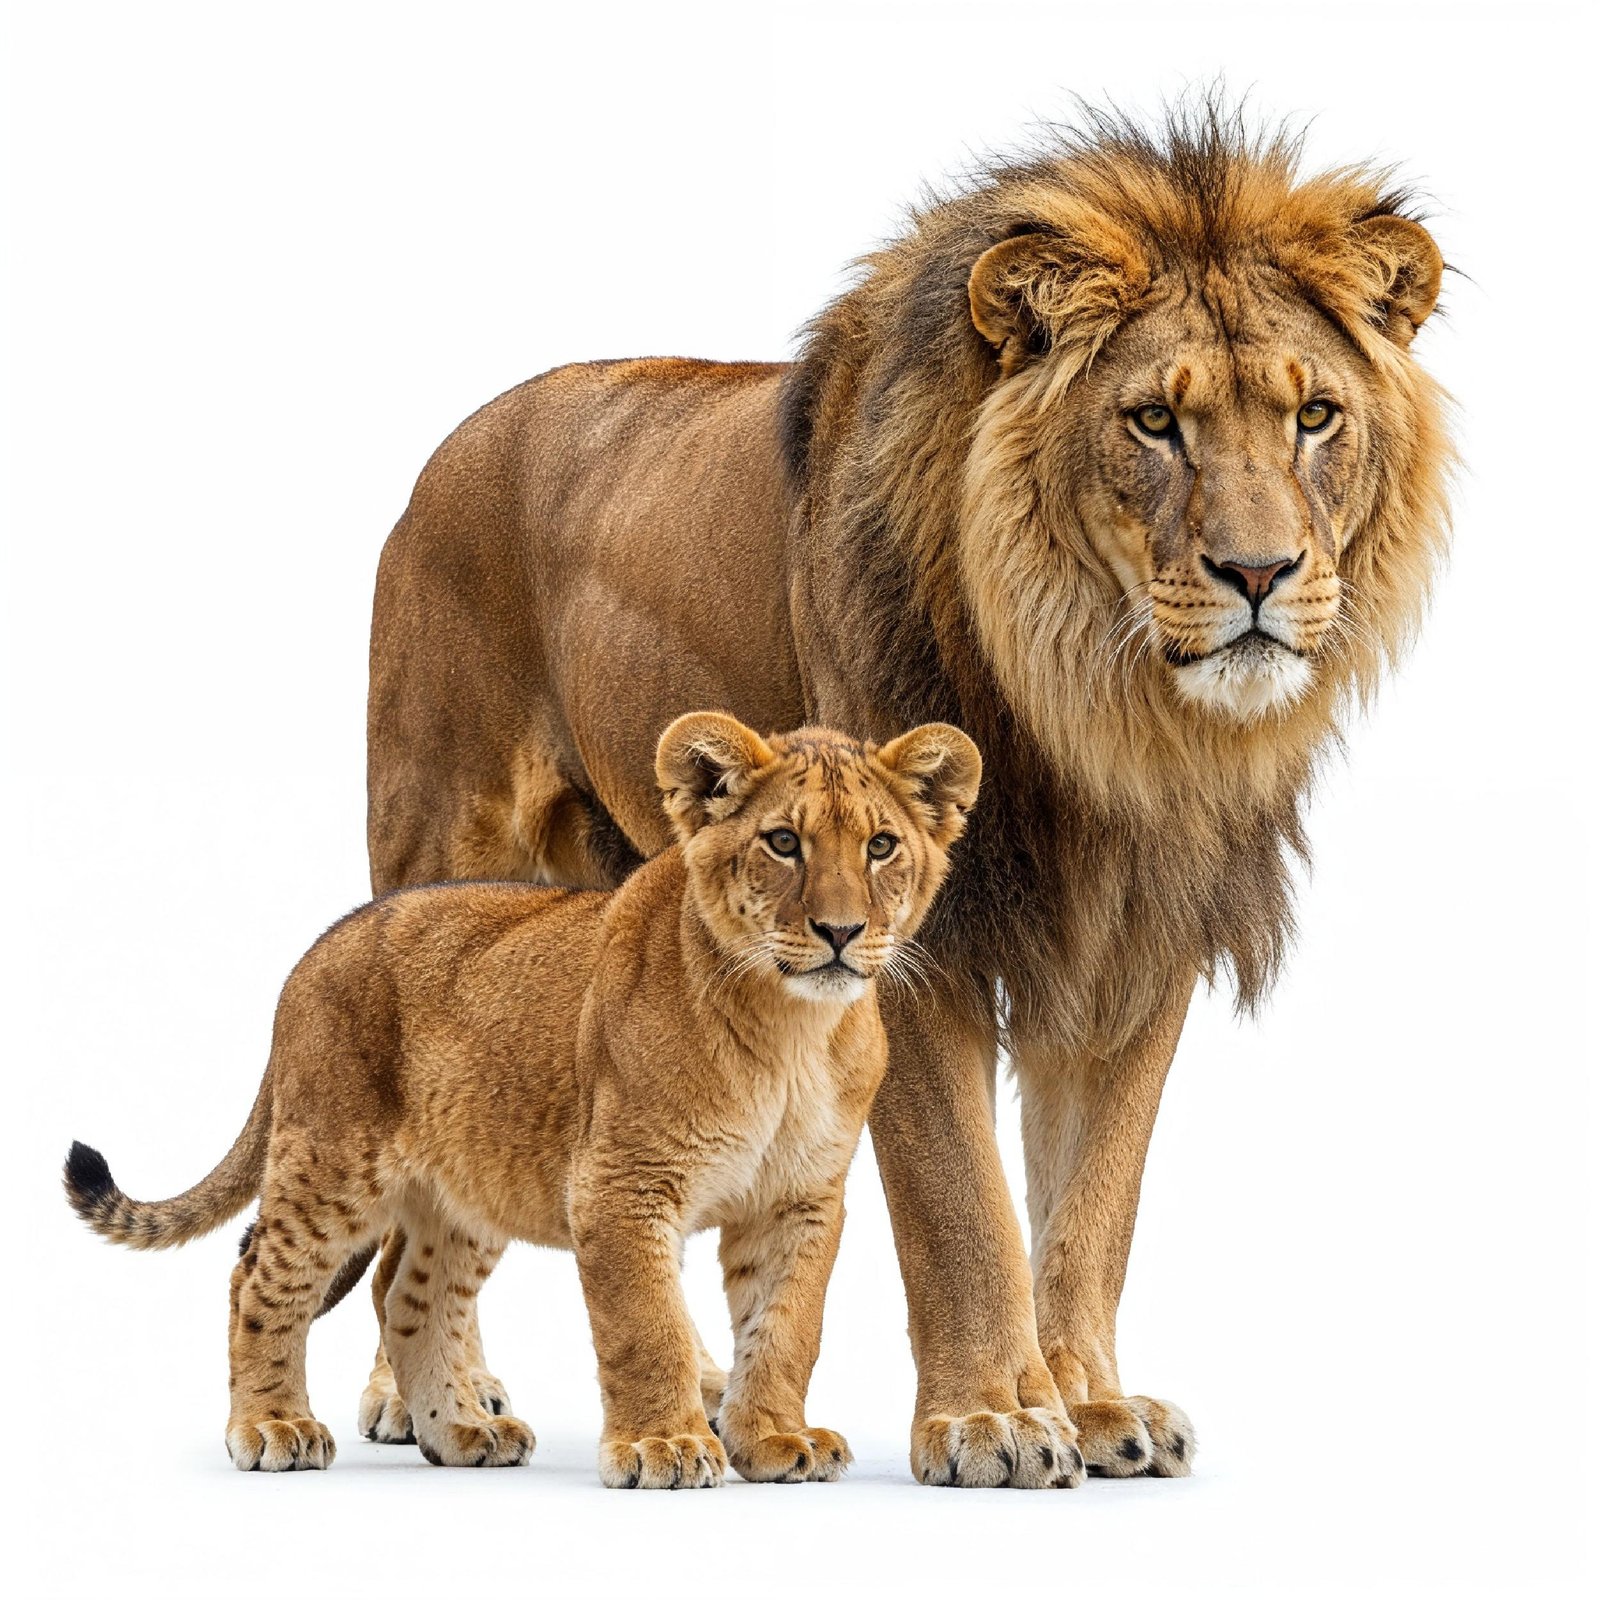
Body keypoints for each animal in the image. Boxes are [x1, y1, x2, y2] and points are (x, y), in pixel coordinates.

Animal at [64, 715, 1004, 1485]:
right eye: (782, 842)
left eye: (880, 846)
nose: (841, 932)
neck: (792, 1033)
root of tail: (321, 944)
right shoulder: (619, 1185)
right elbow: (647, 1325)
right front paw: (663, 1446)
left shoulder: (802, 1199)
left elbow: (786, 1327)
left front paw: (775, 1440)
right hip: (332, 1163)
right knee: (258, 1277)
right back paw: (273, 1427)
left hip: (468, 1189)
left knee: (411, 1297)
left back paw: (460, 1433)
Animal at [360, 102, 1452, 1484]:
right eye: (1154, 423)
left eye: (1314, 415)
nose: (1258, 573)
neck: (1103, 717)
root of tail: (448, 448)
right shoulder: (912, 947)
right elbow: (960, 1204)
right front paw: (992, 1417)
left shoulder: (1137, 943)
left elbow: (1093, 1203)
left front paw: (1091, 1401)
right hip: (440, 843)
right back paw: (424, 1397)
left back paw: (694, 1388)